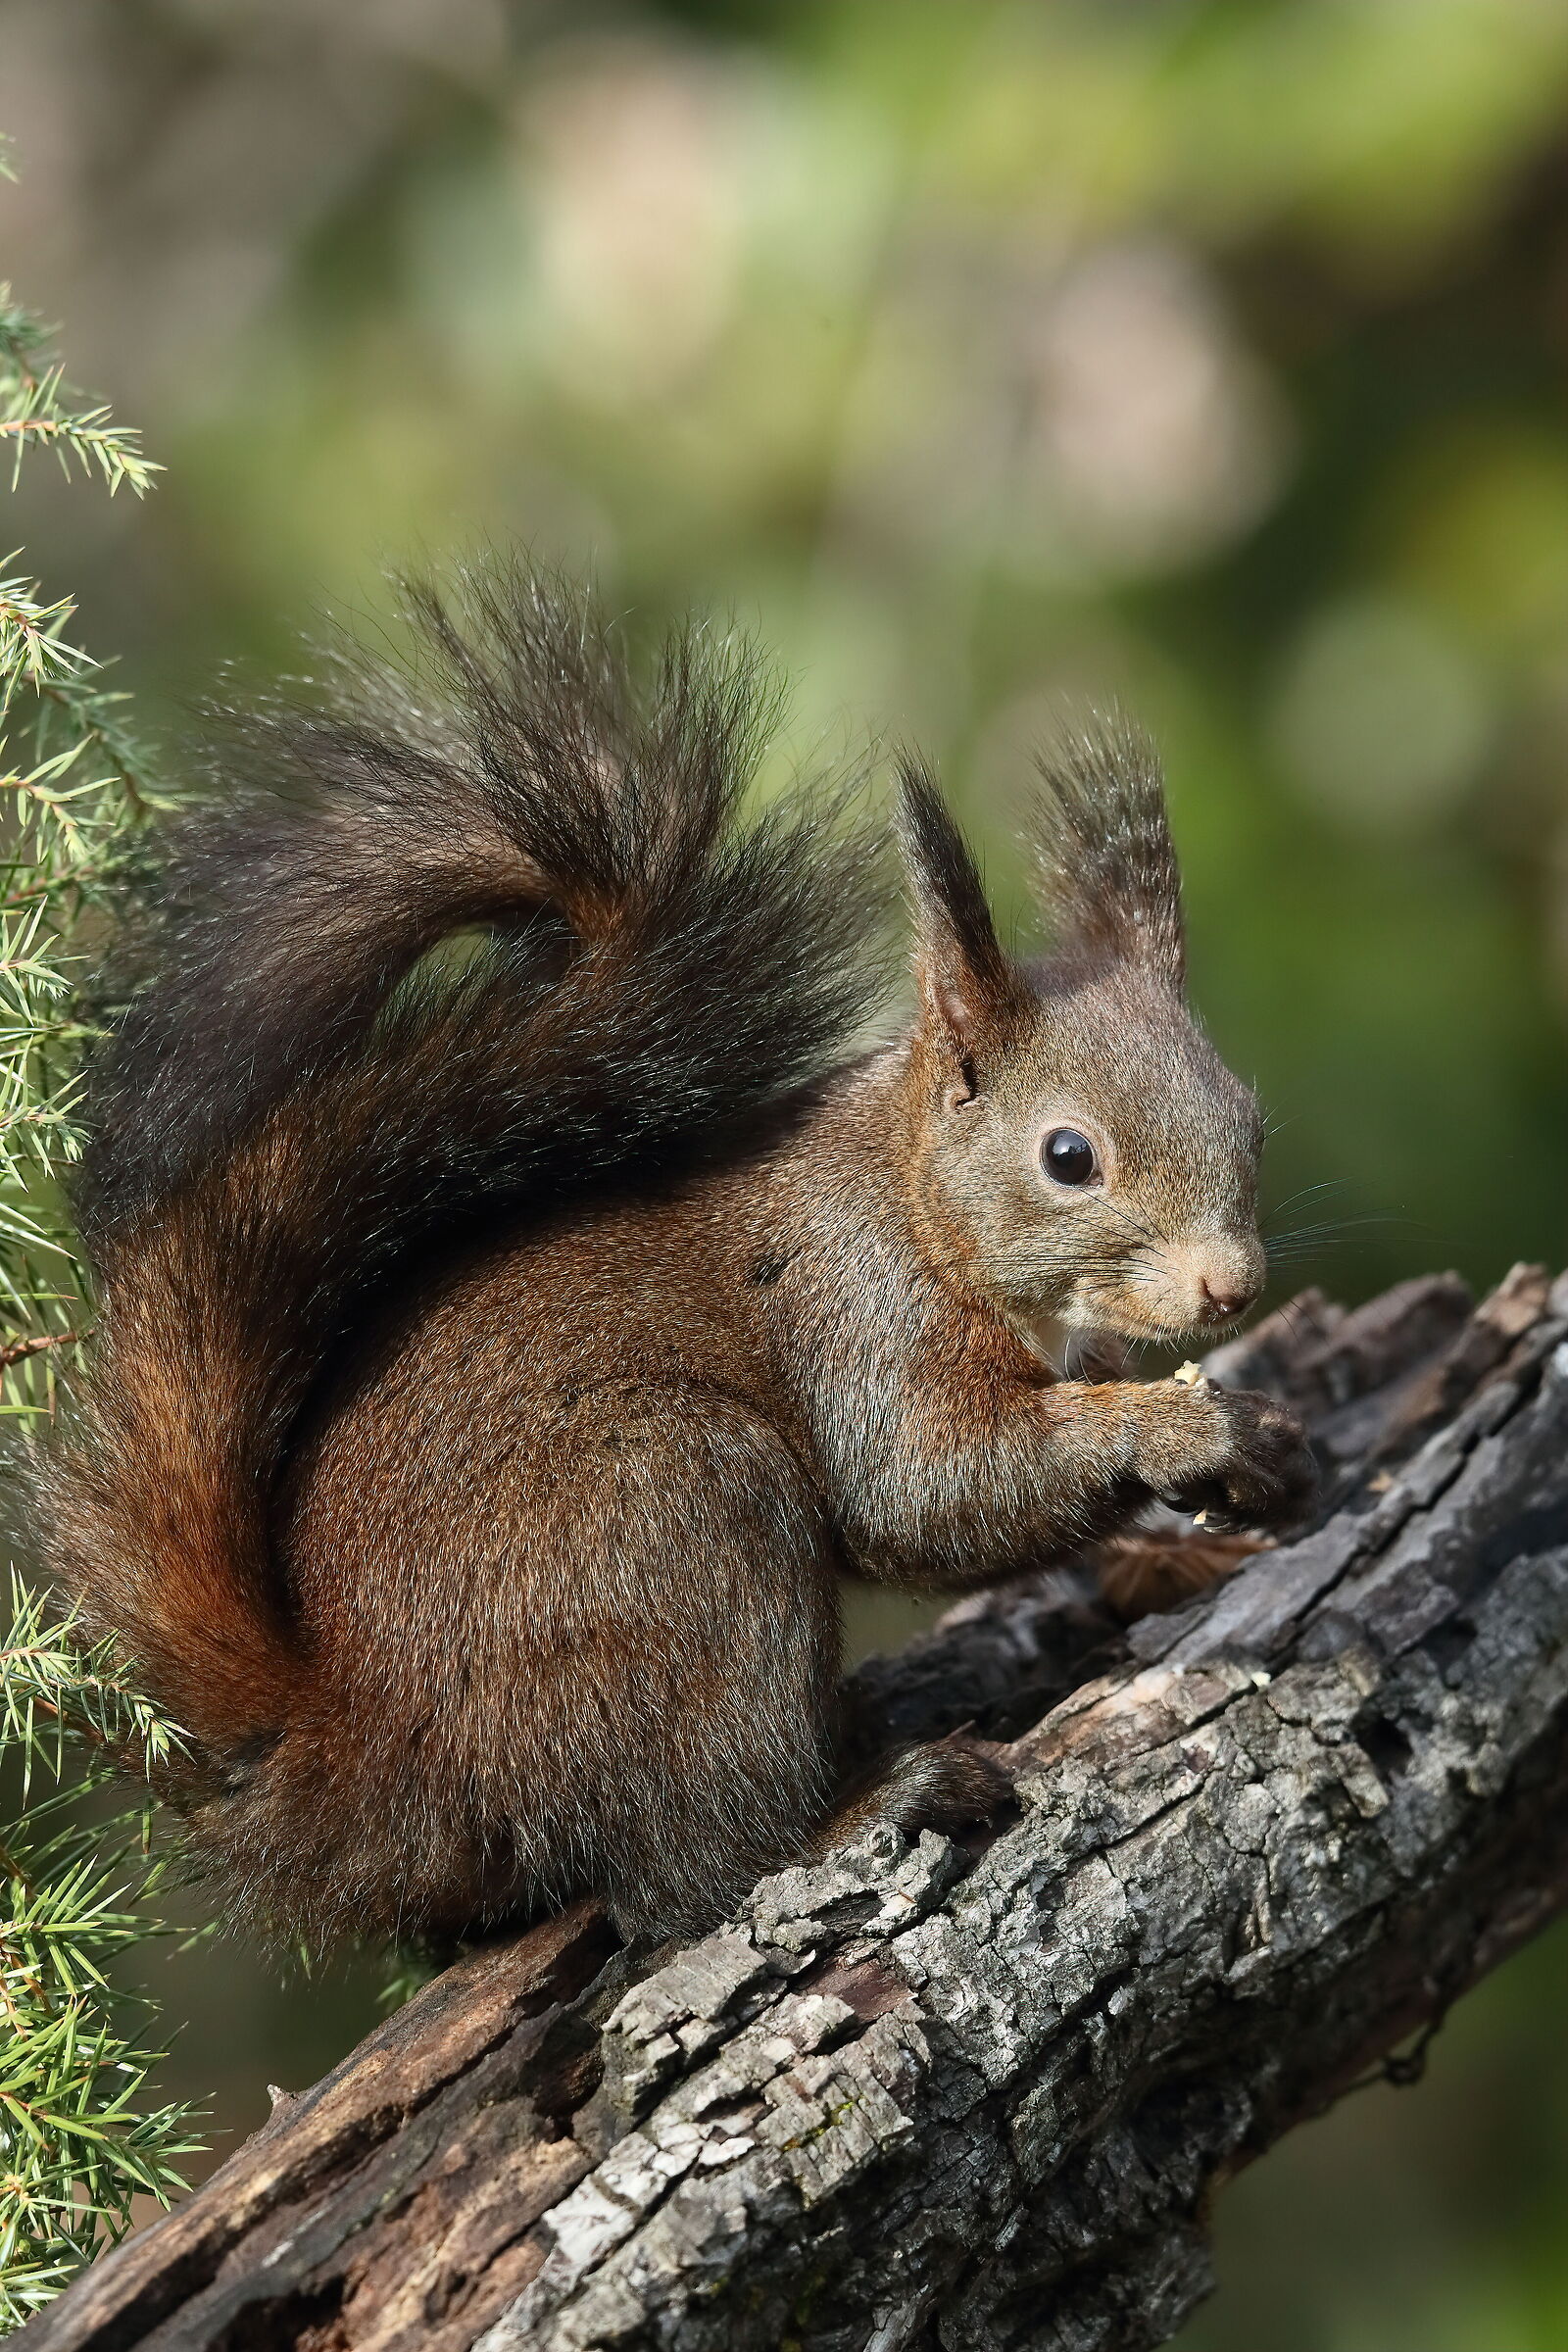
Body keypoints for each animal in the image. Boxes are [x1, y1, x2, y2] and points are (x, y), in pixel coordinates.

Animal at [40, 566, 1316, 1949]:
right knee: (690, 1876)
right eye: (1069, 1156)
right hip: (678, 1517)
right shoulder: (857, 1312)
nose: (1233, 1287)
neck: (915, 1204)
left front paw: (1210, 1519)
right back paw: (867, 1807)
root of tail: (376, 1754)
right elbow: (927, 1493)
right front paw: (1186, 1431)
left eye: (1250, 1117)